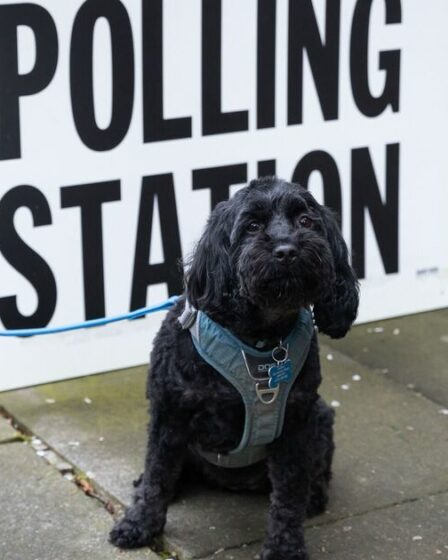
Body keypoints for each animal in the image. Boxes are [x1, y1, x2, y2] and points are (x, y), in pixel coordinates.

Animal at [110, 177, 358, 556]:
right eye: (252, 226)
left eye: (305, 221)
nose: (287, 250)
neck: (261, 338)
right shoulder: (169, 413)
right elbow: (156, 476)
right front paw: (139, 524)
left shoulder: (296, 424)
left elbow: (288, 496)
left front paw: (285, 547)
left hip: (320, 416)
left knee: (312, 474)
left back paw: (314, 496)